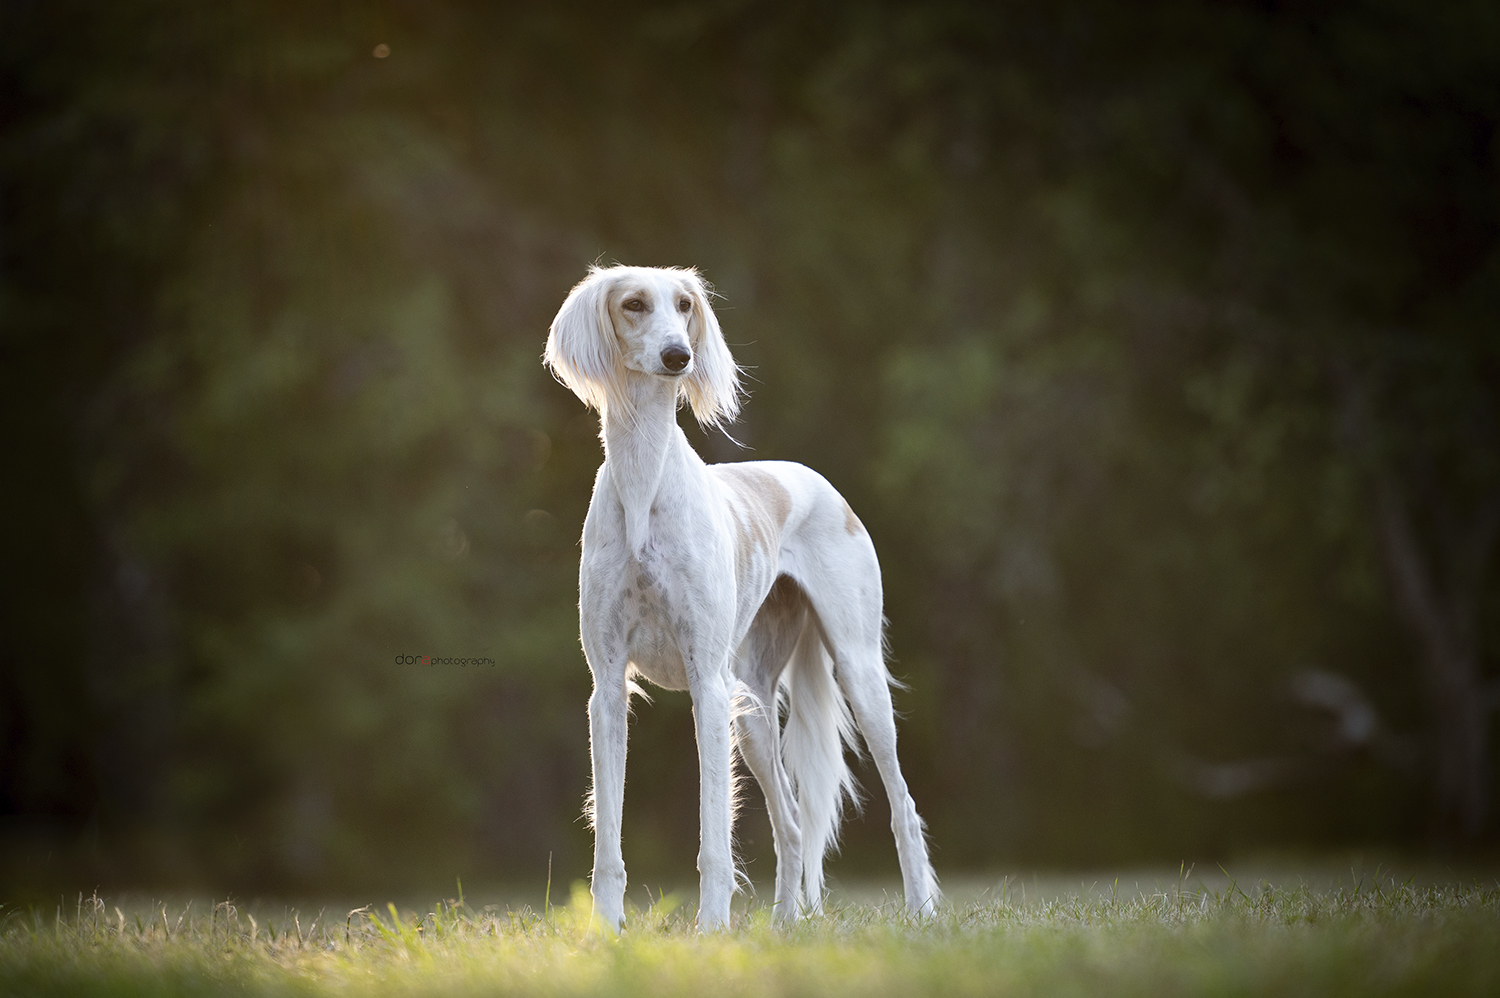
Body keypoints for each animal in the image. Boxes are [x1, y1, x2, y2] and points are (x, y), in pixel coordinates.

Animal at [546, 262, 930, 924]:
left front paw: (710, 928)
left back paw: (920, 915)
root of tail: (816, 479)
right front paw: (608, 930)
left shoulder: (706, 684)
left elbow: (713, 833)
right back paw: (784, 926)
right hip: (751, 702)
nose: (679, 356)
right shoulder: (609, 687)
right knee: (794, 822)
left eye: (684, 305)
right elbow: (609, 839)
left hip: (854, 672)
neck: (645, 484)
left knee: (901, 804)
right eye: (633, 304)